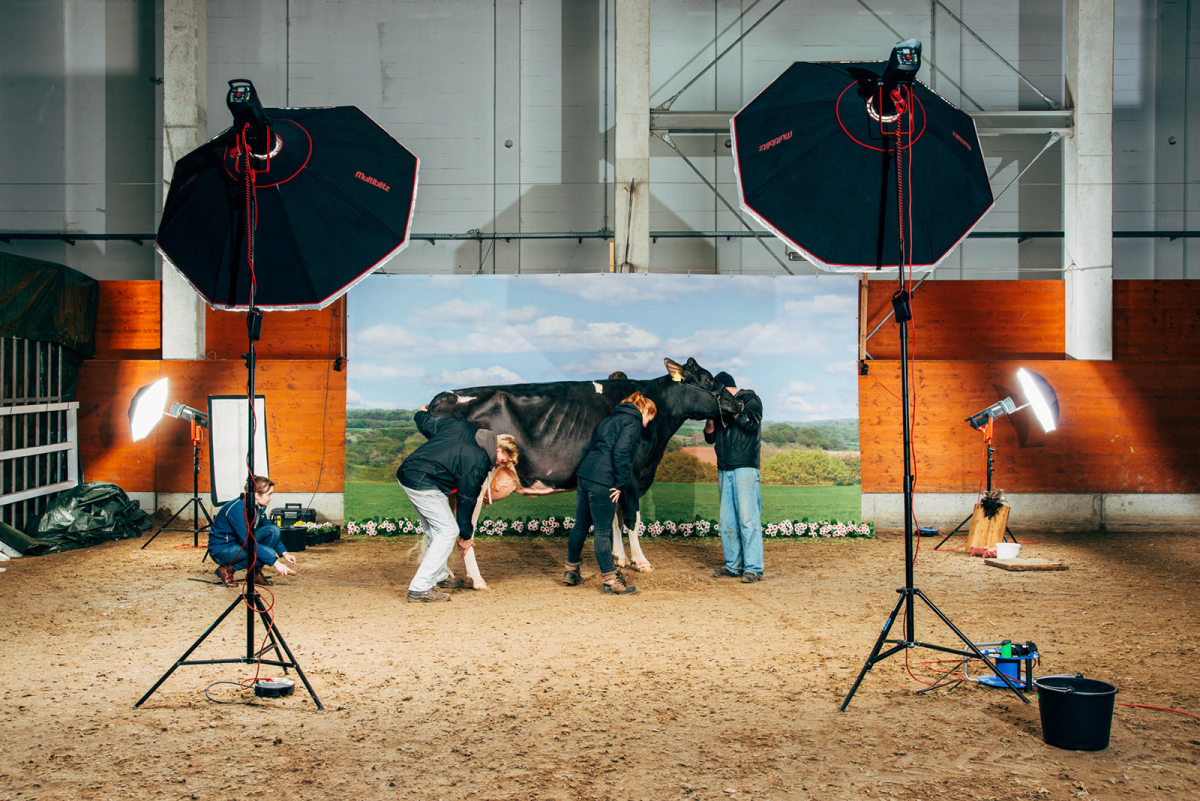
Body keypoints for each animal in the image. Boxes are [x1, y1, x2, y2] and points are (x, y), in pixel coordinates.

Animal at [422, 357, 739, 582]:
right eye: (708, 380)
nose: (738, 403)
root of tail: (440, 398)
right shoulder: (633, 474)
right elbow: (631, 519)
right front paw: (641, 561)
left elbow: (614, 518)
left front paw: (620, 558)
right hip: (474, 482)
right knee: (465, 528)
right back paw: (476, 580)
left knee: (438, 527)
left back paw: (444, 574)